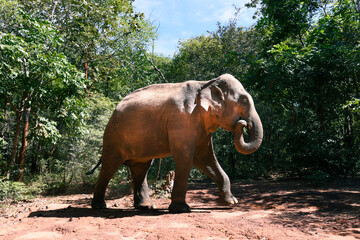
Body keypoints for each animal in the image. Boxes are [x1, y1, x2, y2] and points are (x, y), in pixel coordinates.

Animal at [90, 74, 262, 213]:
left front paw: (230, 202)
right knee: (110, 166)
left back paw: (145, 206)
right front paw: (181, 209)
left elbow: (204, 158)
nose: (243, 124)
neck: (206, 83)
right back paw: (99, 206)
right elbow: (185, 158)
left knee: (141, 168)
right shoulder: (182, 119)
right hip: (113, 136)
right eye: (244, 101)